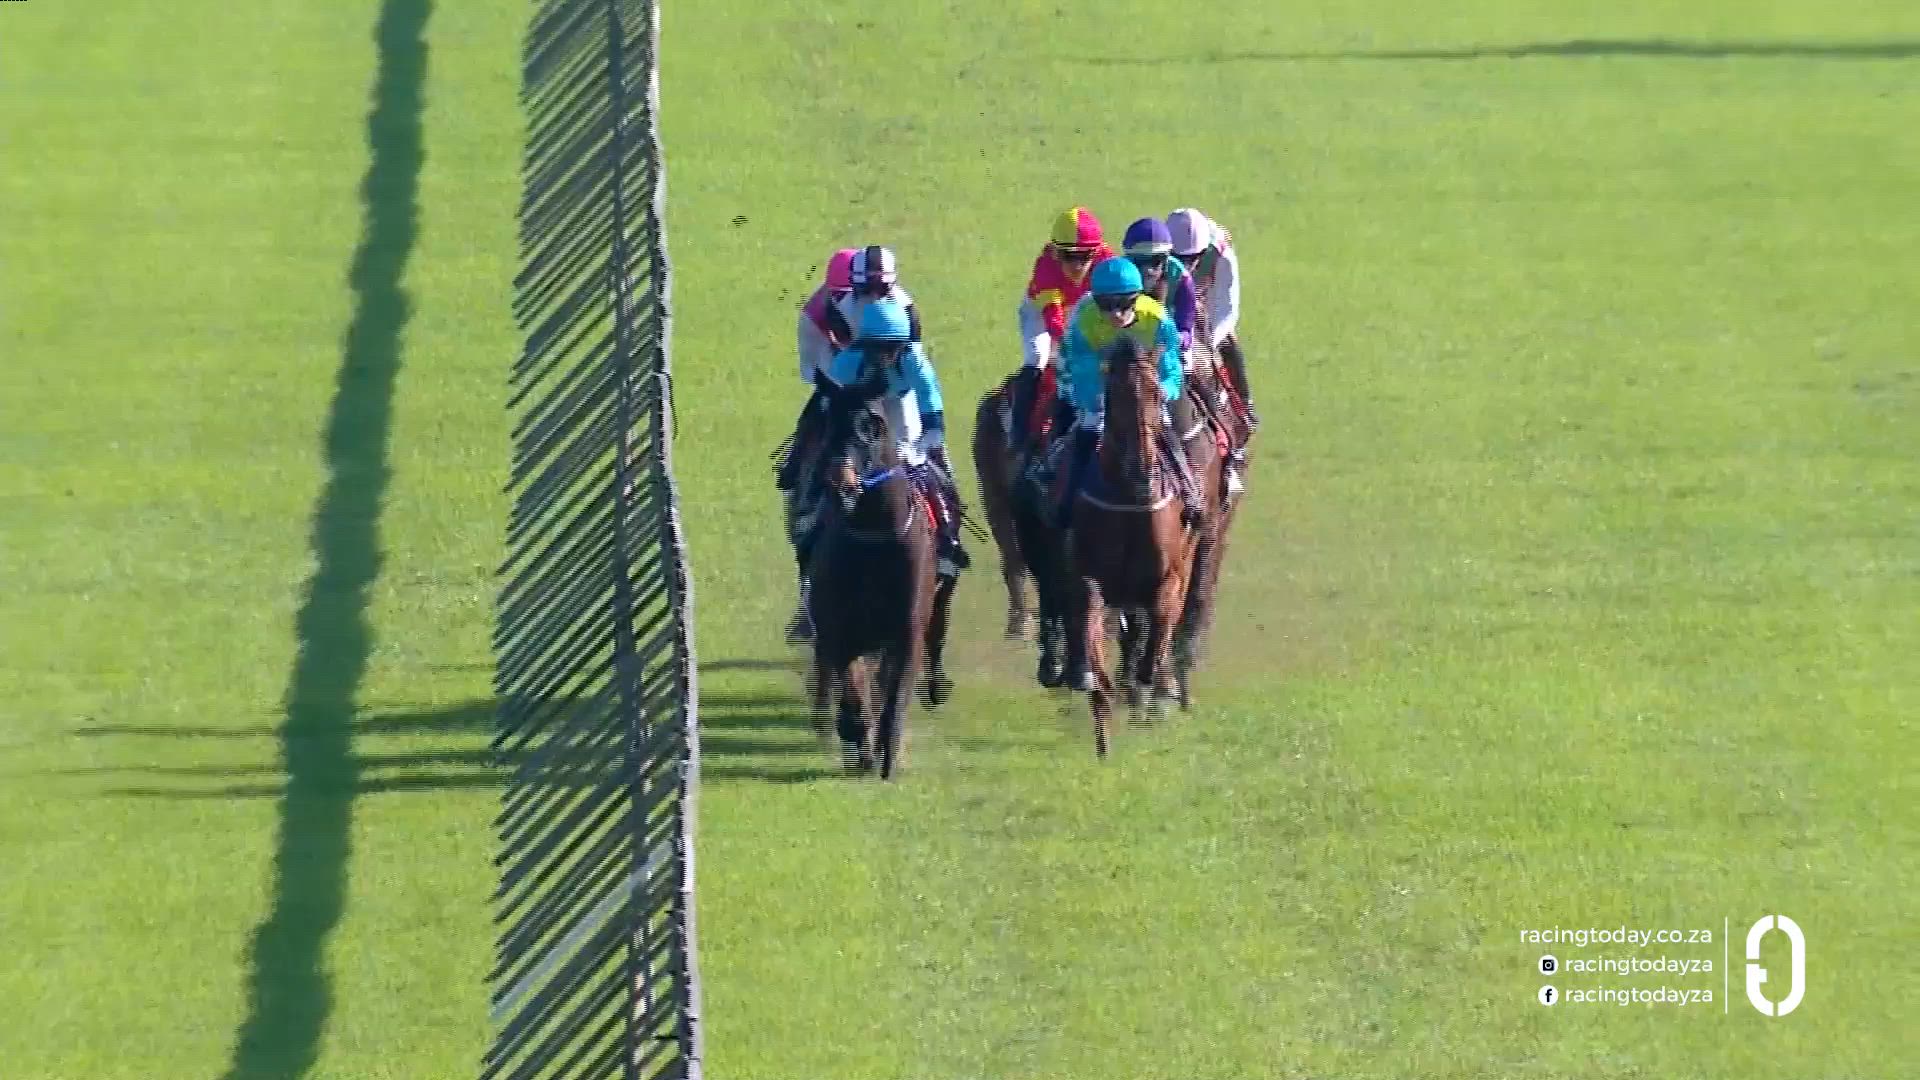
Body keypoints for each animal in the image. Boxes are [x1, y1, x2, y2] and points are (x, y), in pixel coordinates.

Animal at [804, 389, 955, 778]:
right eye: (830, 422)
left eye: (873, 425)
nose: (839, 479)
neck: (874, 540)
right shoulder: (842, 628)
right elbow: (854, 688)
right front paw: (855, 737)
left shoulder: (906, 629)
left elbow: (893, 693)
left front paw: (887, 755)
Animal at [1062, 338, 1202, 756]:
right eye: (1116, 396)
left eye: (1156, 394)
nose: (1142, 472)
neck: (1130, 498)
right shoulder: (1089, 577)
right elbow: (1093, 634)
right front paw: (1102, 711)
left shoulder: (1167, 577)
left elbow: (1157, 631)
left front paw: (1149, 690)